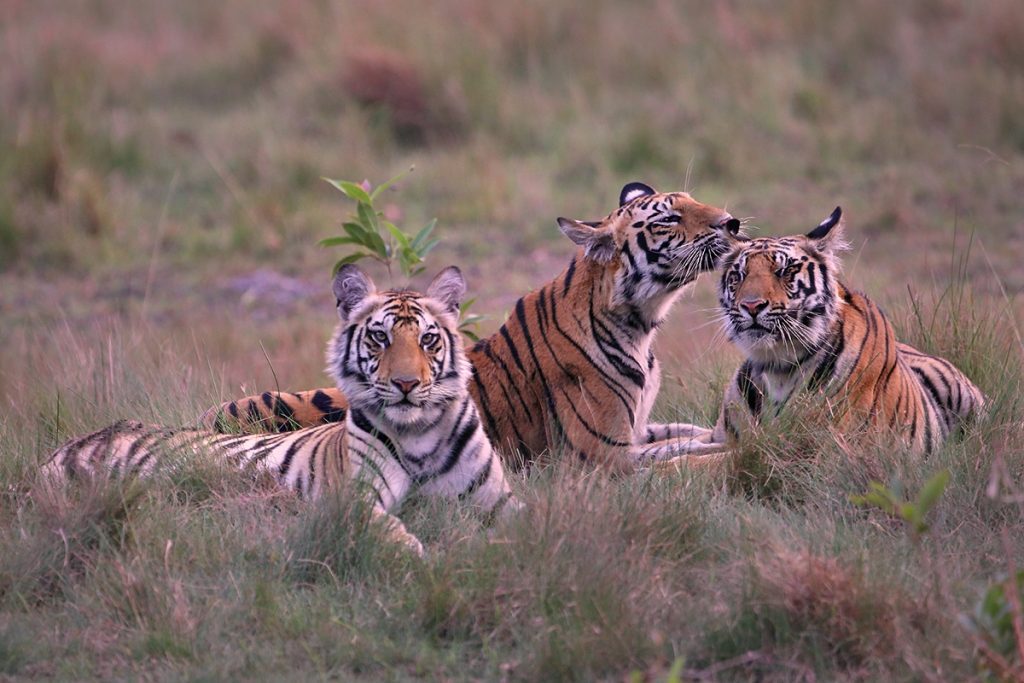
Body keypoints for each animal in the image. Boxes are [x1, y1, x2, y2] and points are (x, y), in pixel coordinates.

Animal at [43, 266, 516, 557]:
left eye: (428, 339)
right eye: (379, 337)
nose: (405, 384)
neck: (419, 434)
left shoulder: (498, 500)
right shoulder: (353, 499)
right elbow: (391, 530)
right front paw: (418, 554)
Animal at [201, 183, 745, 475]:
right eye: (669, 217)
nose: (733, 222)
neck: (640, 321)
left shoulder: (635, 427)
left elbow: (685, 432)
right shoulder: (603, 454)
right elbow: (674, 454)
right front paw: (728, 450)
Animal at [655, 205, 983, 466]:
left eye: (784, 271)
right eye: (739, 275)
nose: (751, 306)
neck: (776, 365)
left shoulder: (811, 450)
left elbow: (703, 463)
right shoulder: (723, 436)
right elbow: (675, 447)